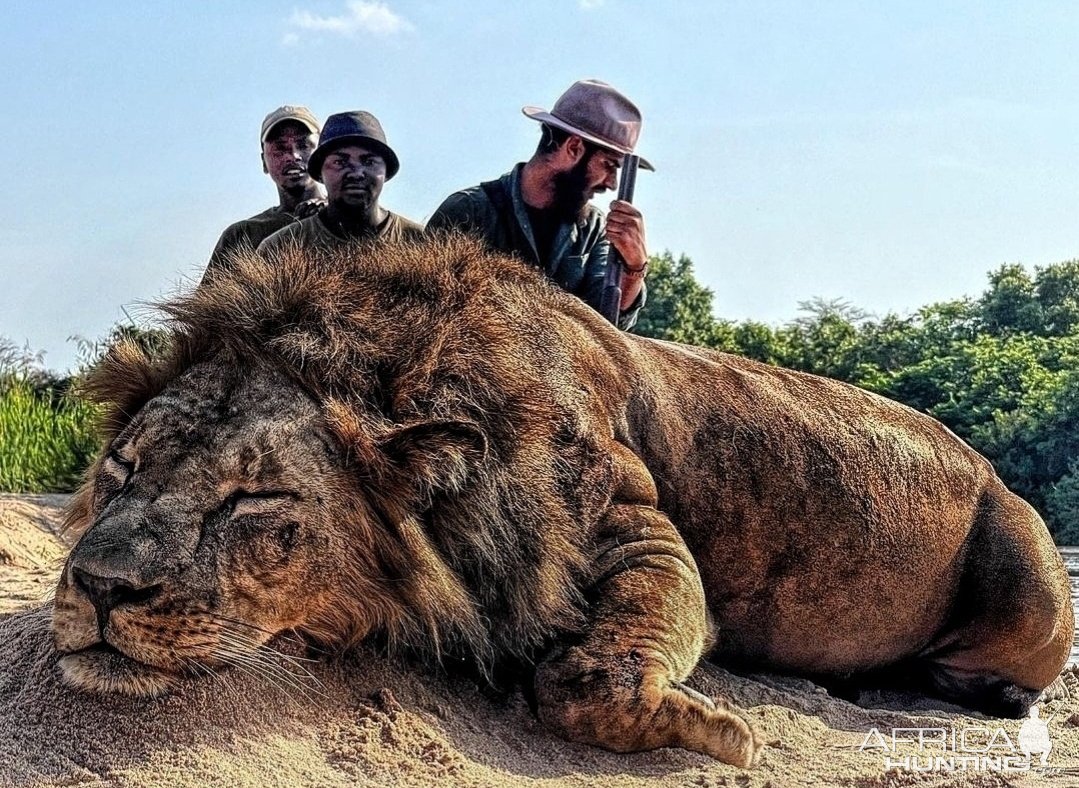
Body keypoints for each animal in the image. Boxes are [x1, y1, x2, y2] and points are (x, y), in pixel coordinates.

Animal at [54, 235, 1074, 768]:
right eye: (123, 468)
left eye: (254, 496)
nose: (99, 587)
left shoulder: (634, 524)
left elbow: (587, 679)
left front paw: (724, 731)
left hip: (1030, 572)